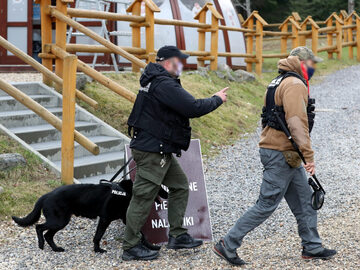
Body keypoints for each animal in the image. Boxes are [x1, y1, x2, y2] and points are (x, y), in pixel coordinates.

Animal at [12, 179, 167, 253]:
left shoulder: (126, 220)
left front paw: (151, 246)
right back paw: (41, 244)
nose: (168, 194)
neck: (127, 192)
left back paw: (56, 249)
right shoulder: (105, 219)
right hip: (59, 220)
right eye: (161, 187)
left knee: (48, 235)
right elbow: (98, 236)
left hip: (61, 221)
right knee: (39, 227)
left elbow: (141, 234)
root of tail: (46, 195)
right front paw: (97, 250)